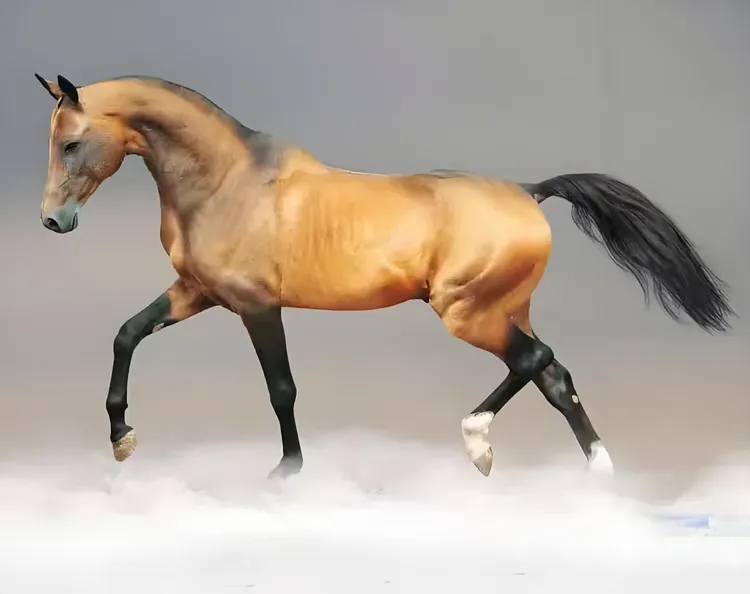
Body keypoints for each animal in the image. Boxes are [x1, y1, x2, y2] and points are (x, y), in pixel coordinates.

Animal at [34, 73, 734, 479]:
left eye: (71, 143)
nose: (53, 220)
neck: (227, 182)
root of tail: (530, 192)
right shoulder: (198, 293)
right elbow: (127, 333)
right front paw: (121, 437)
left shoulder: (256, 306)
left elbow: (281, 388)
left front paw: (288, 473)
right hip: (507, 308)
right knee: (553, 375)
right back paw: (598, 477)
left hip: (468, 312)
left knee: (536, 361)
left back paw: (478, 442)